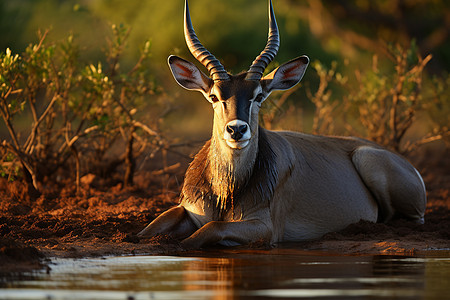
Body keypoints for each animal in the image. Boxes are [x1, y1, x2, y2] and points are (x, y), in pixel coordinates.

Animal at [139, 0, 428, 248]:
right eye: (214, 96)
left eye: (258, 96)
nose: (237, 130)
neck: (226, 192)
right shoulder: (186, 211)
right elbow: (147, 230)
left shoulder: (264, 228)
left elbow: (209, 230)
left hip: (369, 162)